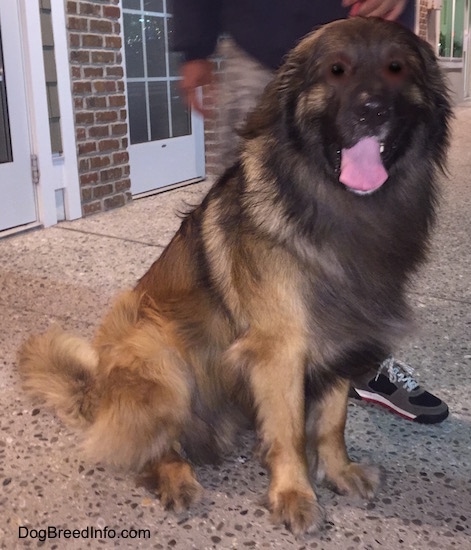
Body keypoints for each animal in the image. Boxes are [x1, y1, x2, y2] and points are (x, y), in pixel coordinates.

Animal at [19, 18, 454, 540]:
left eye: (397, 68)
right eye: (336, 70)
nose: (372, 110)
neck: (337, 204)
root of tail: (98, 394)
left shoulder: (341, 338)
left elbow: (331, 422)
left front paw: (338, 471)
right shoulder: (280, 348)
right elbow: (289, 432)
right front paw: (294, 494)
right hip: (155, 350)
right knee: (150, 447)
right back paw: (176, 477)